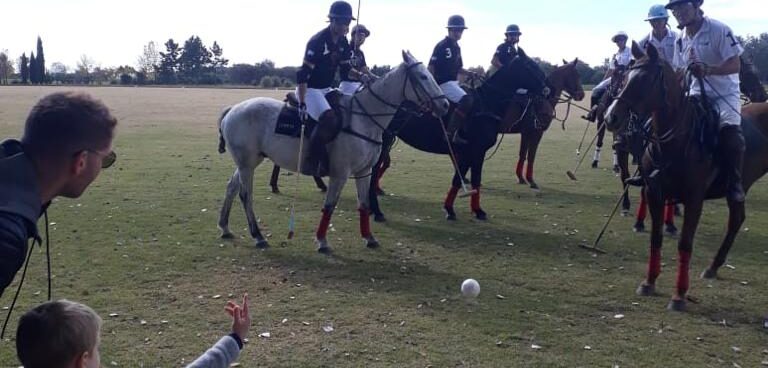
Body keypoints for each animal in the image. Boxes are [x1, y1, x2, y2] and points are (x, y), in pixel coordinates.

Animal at [608, 43, 768, 312]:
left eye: (645, 79)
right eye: (626, 77)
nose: (611, 117)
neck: (675, 139)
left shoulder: (694, 197)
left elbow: (685, 243)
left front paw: (679, 296)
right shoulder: (655, 190)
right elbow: (656, 238)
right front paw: (649, 282)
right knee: (737, 219)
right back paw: (713, 267)